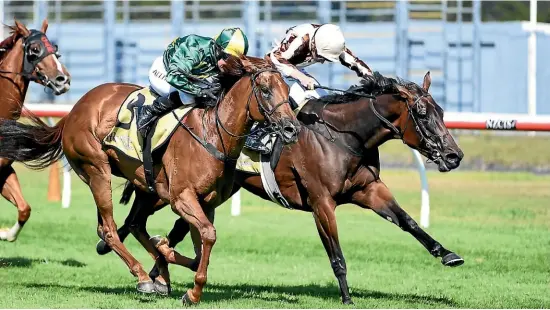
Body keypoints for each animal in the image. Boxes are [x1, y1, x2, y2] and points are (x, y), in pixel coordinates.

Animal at [0, 19, 71, 242]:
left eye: (55, 49)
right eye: (34, 49)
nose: (63, 79)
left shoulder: (4, 170)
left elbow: (24, 209)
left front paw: (6, 234)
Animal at [0, 55, 302, 306]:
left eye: (288, 92)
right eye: (265, 90)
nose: (292, 129)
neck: (212, 133)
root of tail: (74, 111)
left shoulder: (207, 202)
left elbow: (199, 247)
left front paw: (172, 265)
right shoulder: (182, 197)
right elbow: (207, 235)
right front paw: (192, 291)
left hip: (145, 186)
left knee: (132, 224)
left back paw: (157, 272)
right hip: (96, 169)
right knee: (109, 229)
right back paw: (144, 277)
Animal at [99, 71, 466, 306]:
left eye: (441, 111)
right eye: (422, 113)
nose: (454, 155)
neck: (342, 136)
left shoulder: (368, 190)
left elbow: (408, 221)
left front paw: (448, 253)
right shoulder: (321, 202)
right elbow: (336, 254)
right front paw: (347, 296)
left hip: (214, 191)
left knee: (172, 227)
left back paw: (158, 272)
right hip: (168, 189)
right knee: (138, 221)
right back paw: (147, 268)